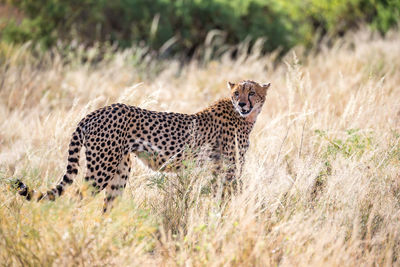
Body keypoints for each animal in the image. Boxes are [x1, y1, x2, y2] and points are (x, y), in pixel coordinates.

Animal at [15, 80, 272, 213]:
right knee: (77, 196)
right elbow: (231, 195)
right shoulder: (229, 168)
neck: (244, 117)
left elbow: (220, 195)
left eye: (252, 92)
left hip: (120, 170)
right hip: (102, 168)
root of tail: (96, 111)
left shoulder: (219, 168)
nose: (242, 104)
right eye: (236, 92)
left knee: (107, 204)